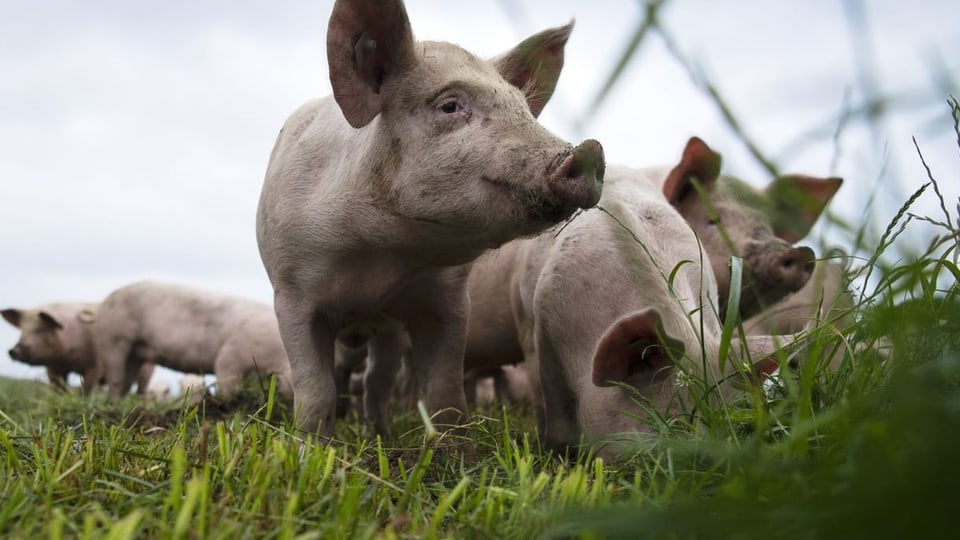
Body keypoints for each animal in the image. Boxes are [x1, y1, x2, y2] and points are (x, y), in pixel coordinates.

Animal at [2, 302, 154, 394]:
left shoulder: (96, 364)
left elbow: (87, 388)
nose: (13, 350)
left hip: (147, 370)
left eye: (40, 330)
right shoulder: (53, 368)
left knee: (141, 388)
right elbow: (57, 388)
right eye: (22, 330)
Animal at [97, 282, 294, 400]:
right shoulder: (230, 355)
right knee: (115, 377)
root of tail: (106, 301)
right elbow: (227, 381)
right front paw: (228, 404)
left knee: (126, 379)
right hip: (113, 339)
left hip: (135, 353)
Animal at [255, 0, 600, 438]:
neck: (376, 259)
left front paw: (454, 451)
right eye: (449, 105)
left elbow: (446, 392)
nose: (591, 151)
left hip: (387, 335)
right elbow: (315, 391)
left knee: (377, 382)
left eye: (524, 109)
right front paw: (308, 449)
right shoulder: (291, 293)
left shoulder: (446, 299)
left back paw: (380, 436)